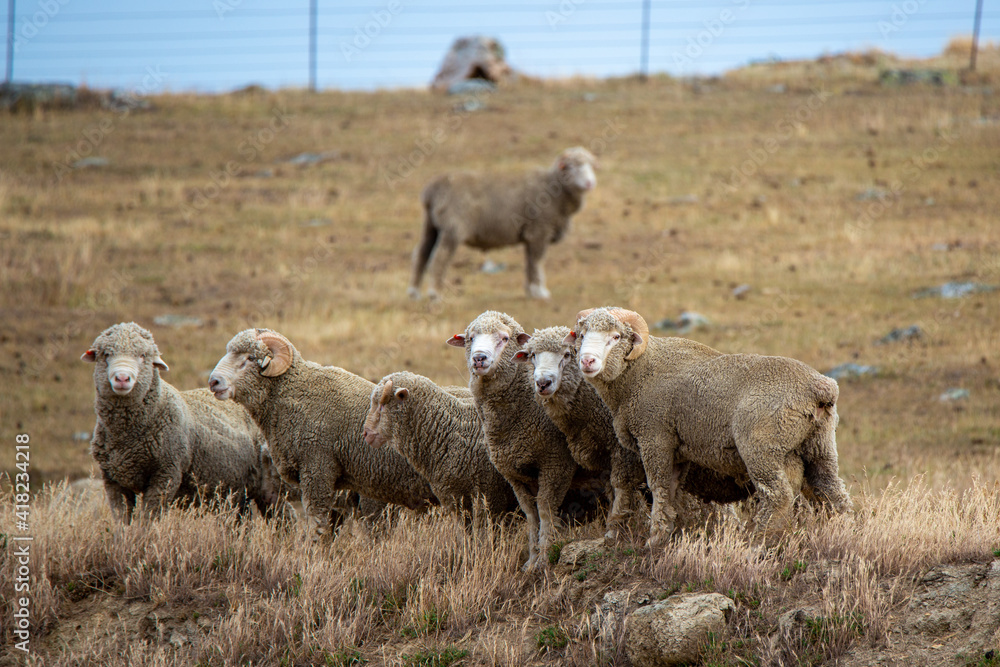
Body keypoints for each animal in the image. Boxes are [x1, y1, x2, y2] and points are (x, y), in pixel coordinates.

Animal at [82, 322, 286, 522]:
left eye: (143, 356)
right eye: (106, 354)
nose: (123, 378)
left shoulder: (166, 474)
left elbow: (148, 520)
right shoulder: (113, 481)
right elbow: (121, 521)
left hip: (273, 485)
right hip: (236, 494)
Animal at [408, 146, 597, 301]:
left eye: (591, 166)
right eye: (571, 166)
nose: (590, 183)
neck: (555, 189)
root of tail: (432, 189)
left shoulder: (530, 235)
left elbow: (530, 263)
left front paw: (530, 291)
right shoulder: (539, 231)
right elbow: (537, 261)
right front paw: (540, 291)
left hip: (431, 225)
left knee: (422, 253)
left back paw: (414, 293)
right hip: (452, 228)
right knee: (439, 257)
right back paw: (434, 294)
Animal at [448, 310, 578, 569]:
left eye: (505, 338)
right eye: (470, 338)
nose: (479, 358)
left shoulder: (556, 462)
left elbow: (545, 509)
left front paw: (545, 558)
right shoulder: (512, 473)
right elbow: (530, 513)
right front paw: (532, 560)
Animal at [570, 307, 852, 548]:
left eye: (616, 336)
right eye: (582, 335)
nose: (587, 361)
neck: (640, 372)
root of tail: (820, 388)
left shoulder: (655, 437)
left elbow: (658, 486)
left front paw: (654, 538)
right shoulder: (677, 449)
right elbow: (671, 489)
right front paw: (667, 532)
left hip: (762, 445)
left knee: (777, 494)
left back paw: (759, 540)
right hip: (819, 445)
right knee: (831, 491)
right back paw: (842, 531)